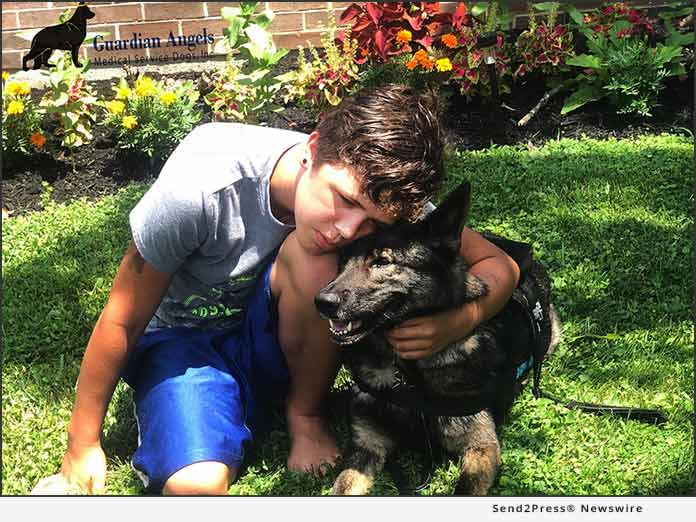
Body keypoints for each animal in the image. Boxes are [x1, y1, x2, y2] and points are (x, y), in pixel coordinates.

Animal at [316, 183, 560, 496]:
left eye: (382, 261)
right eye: (342, 264)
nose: (322, 302)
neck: (405, 374)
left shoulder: (481, 446)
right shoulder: (367, 447)